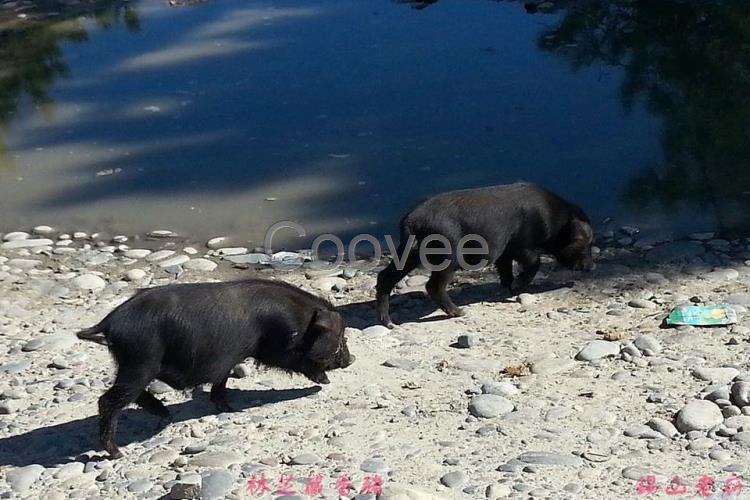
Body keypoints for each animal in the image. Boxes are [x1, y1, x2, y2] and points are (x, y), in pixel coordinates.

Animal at [78, 278, 354, 458]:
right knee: (109, 400)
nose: (351, 360)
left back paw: (164, 415)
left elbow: (221, 383)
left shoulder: (228, 361)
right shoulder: (277, 345)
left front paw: (228, 408)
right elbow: (293, 360)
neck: (300, 320)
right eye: (341, 336)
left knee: (132, 395)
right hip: (139, 362)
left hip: (133, 364)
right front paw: (324, 380)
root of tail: (111, 322)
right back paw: (117, 453)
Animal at [378, 182, 596, 326]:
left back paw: (388, 322)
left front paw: (510, 288)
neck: (554, 220)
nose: (591, 267)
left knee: (385, 276)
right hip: (448, 256)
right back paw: (460, 312)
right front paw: (517, 286)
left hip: (409, 253)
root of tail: (411, 221)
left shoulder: (505, 251)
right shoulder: (522, 244)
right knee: (433, 285)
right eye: (584, 243)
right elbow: (534, 262)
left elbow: (505, 268)